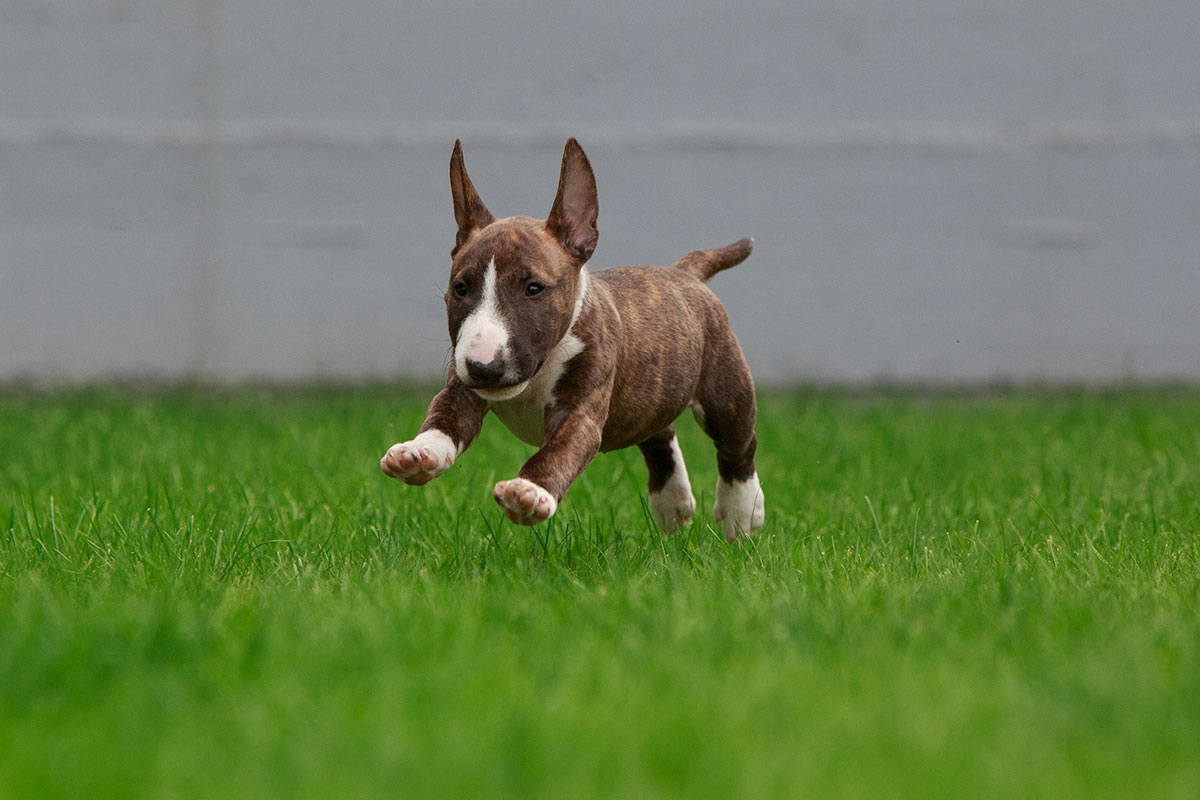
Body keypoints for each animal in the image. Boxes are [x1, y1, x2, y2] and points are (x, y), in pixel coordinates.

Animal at [379, 137, 763, 542]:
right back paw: (672, 504)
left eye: (534, 288)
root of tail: (685, 272)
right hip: (651, 393)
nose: (485, 367)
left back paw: (741, 513)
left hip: (725, 389)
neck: (540, 369)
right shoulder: (463, 390)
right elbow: (444, 417)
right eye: (460, 288)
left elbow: (559, 452)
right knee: (660, 435)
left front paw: (529, 491)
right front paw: (419, 453)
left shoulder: (580, 411)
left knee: (738, 445)